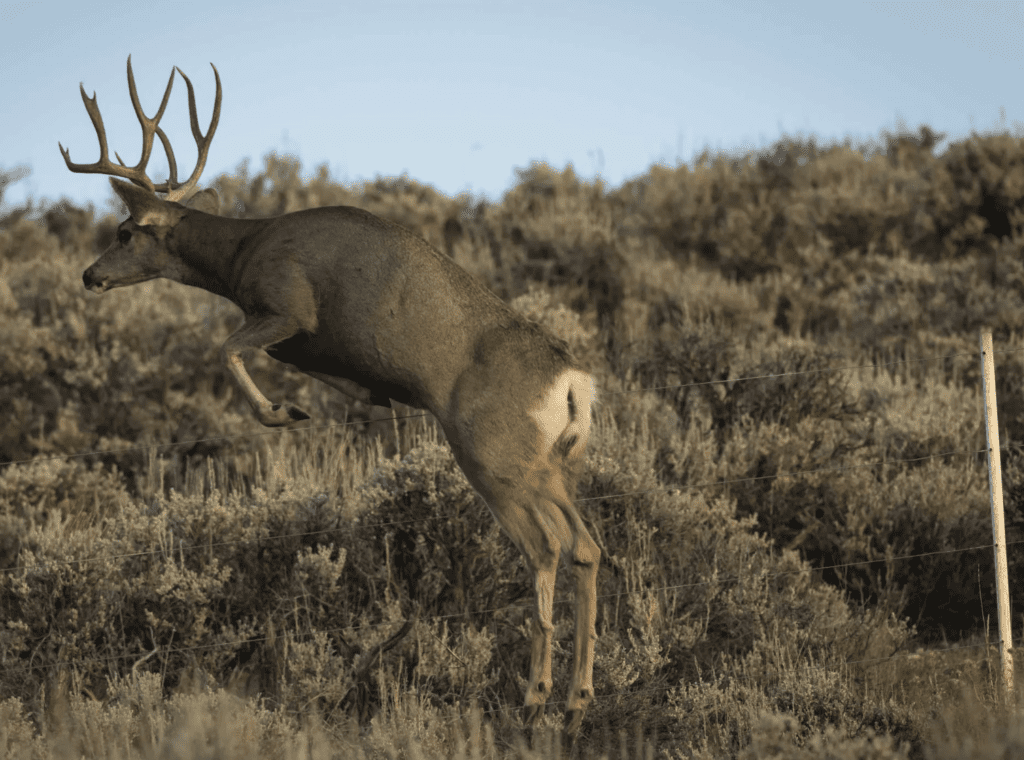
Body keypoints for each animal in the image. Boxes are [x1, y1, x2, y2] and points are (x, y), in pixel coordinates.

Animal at [61, 56, 598, 733]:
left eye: (125, 231)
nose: (90, 275)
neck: (244, 253)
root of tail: (573, 382)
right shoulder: (303, 342)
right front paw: (357, 403)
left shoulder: (288, 308)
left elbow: (228, 348)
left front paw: (282, 412)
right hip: (552, 462)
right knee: (586, 545)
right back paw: (577, 698)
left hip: (493, 454)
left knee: (546, 547)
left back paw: (535, 695)